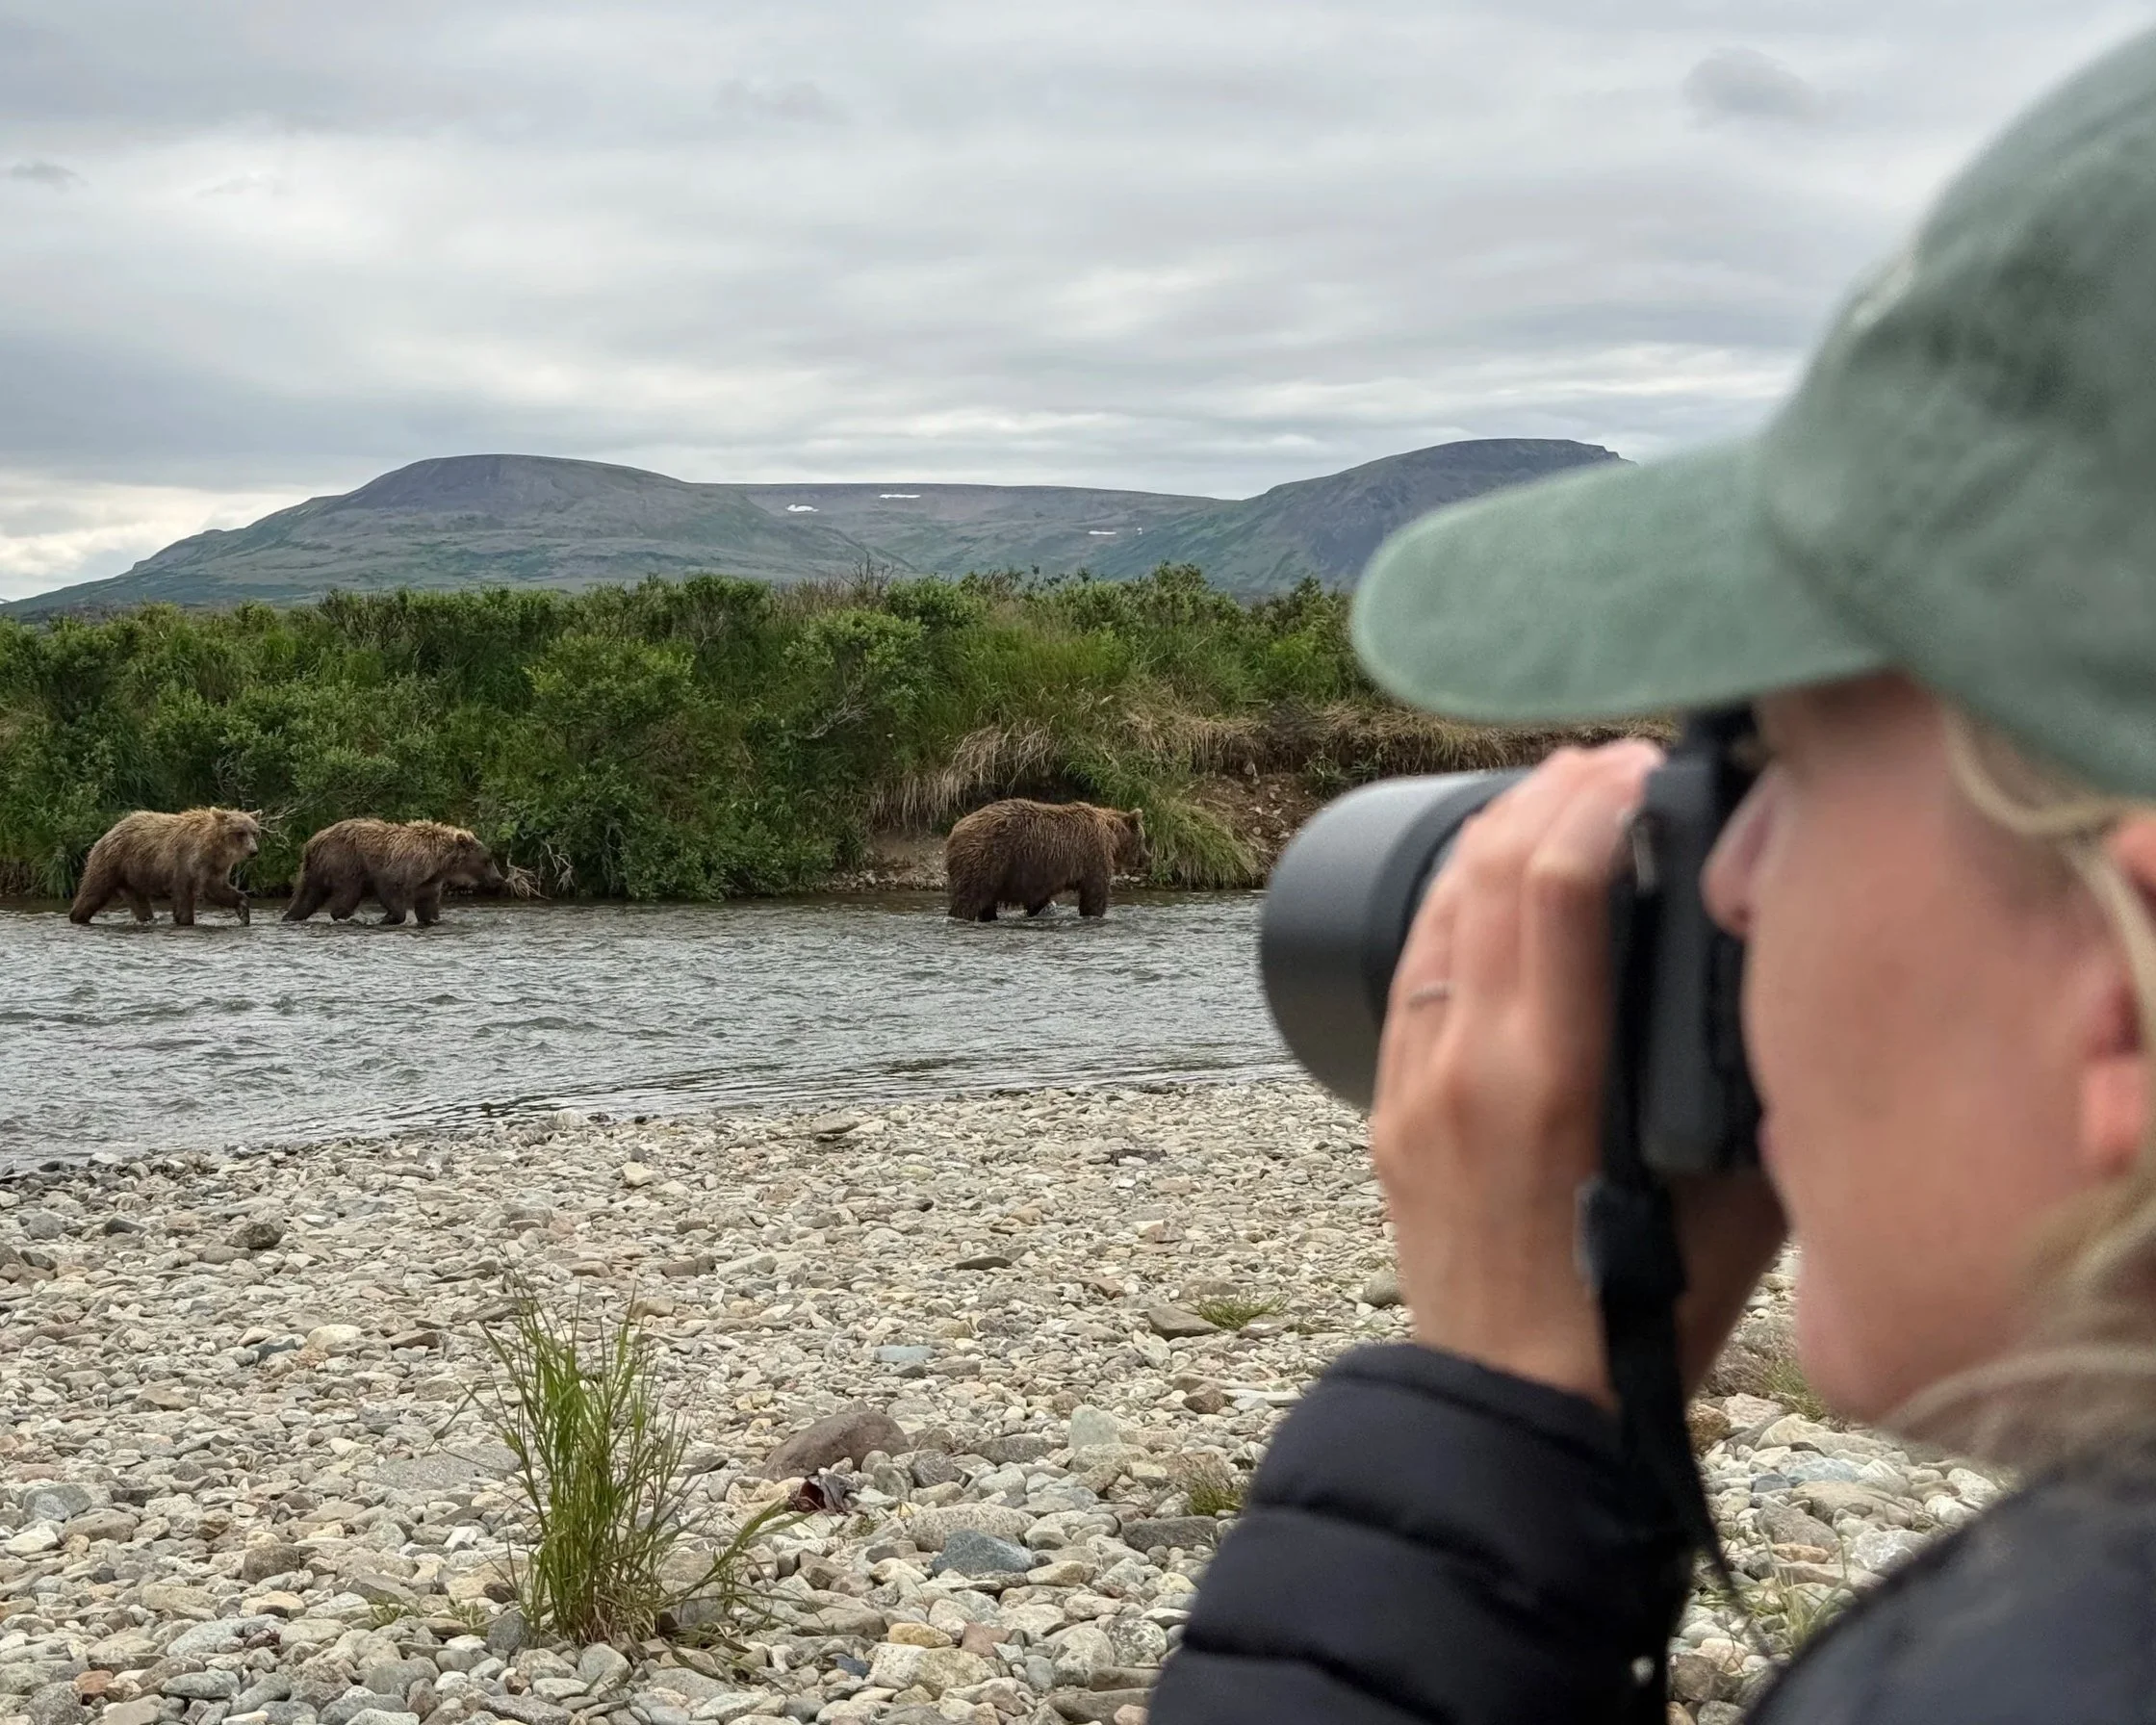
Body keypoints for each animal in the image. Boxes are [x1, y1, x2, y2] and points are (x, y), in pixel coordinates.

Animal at [68, 807, 262, 927]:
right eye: (240, 833)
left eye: (254, 832)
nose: (254, 851)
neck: (214, 850)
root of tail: (110, 831)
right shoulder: (185, 864)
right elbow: (184, 896)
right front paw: (185, 920)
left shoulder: (213, 869)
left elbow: (218, 890)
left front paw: (244, 911)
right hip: (111, 863)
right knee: (93, 892)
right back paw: (77, 916)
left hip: (133, 878)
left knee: (140, 905)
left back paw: (146, 919)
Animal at [282, 818, 505, 926]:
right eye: (488, 860)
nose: (499, 878)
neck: (438, 862)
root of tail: (312, 842)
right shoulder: (400, 868)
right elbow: (390, 889)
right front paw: (388, 918)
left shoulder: (429, 883)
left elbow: (427, 905)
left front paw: (432, 919)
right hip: (346, 862)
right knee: (347, 894)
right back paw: (345, 916)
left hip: (314, 870)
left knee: (307, 895)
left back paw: (290, 916)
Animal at [945, 798, 1149, 921]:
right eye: (1143, 839)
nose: (1147, 857)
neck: (1113, 835)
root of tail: (955, 830)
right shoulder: (1093, 854)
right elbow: (1094, 892)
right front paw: (1094, 913)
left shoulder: (1039, 874)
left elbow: (1038, 900)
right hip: (986, 858)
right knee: (969, 898)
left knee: (986, 902)